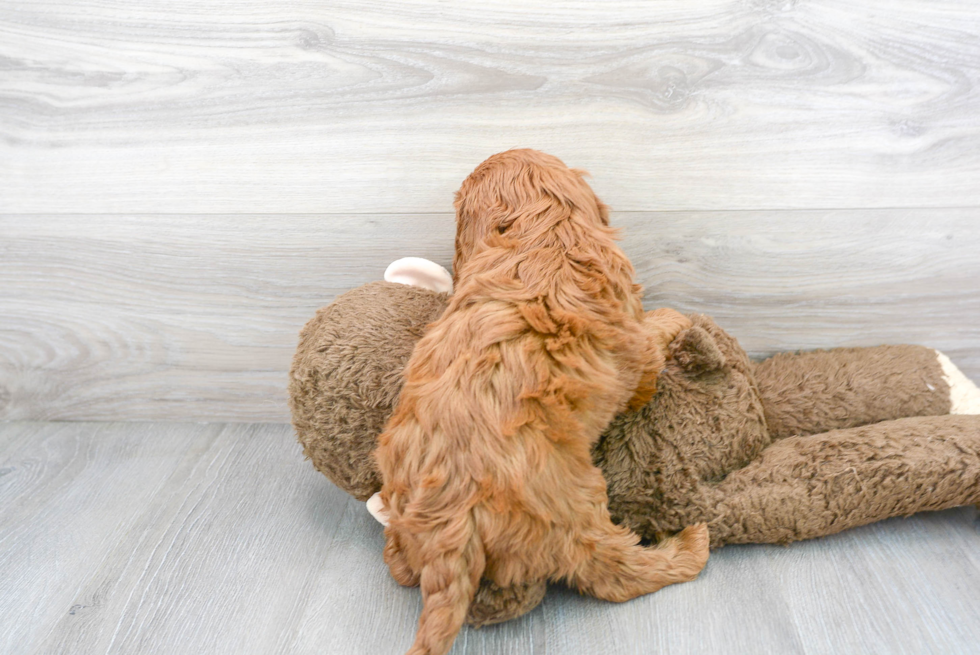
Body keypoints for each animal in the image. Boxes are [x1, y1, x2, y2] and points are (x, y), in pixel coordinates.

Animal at [374, 150, 704, 655]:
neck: (542, 234)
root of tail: (451, 515)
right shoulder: (635, 341)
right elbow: (650, 348)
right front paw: (673, 321)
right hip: (574, 506)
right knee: (614, 573)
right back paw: (686, 549)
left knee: (404, 563)